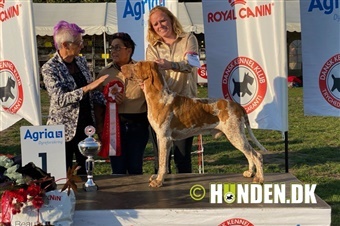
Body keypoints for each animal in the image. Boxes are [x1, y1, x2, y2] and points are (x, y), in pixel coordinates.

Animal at [121, 60, 266, 187]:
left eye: (137, 65)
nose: (122, 67)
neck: (160, 97)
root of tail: (238, 105)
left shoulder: (164, 138)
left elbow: (162, 163)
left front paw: (159, 181)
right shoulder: (161, 138)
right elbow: (163, 160)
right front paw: (158, 177)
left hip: (235, 135)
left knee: (256, 155)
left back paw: (259, 178)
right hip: (236, 136)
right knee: (249, 155)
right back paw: (250, 173)